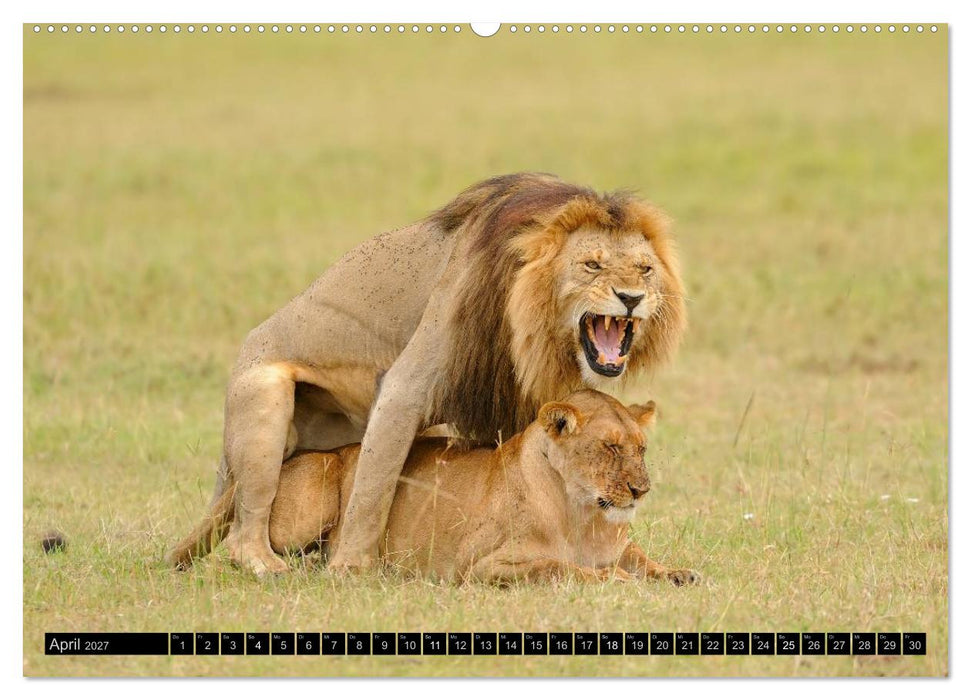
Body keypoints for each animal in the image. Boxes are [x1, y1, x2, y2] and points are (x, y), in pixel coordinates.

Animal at [169, 391, 700, 586]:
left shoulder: (618, 545)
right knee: (246, 537)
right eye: (609, 448)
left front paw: (678, 573)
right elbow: (561, 567)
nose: (641, 490)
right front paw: (616, 581)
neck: (583, 512)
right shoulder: (479, 566)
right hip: (311, 496)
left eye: (641, 448)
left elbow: (642, 559)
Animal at [186, 172, 686, 575]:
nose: (631, 298)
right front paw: (352, 570)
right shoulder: (404, 387)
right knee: (243, 532)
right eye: (592, 264)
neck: (531, 319)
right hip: (265, 402)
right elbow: (372, 490)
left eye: (645, 268)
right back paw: (268, 566)